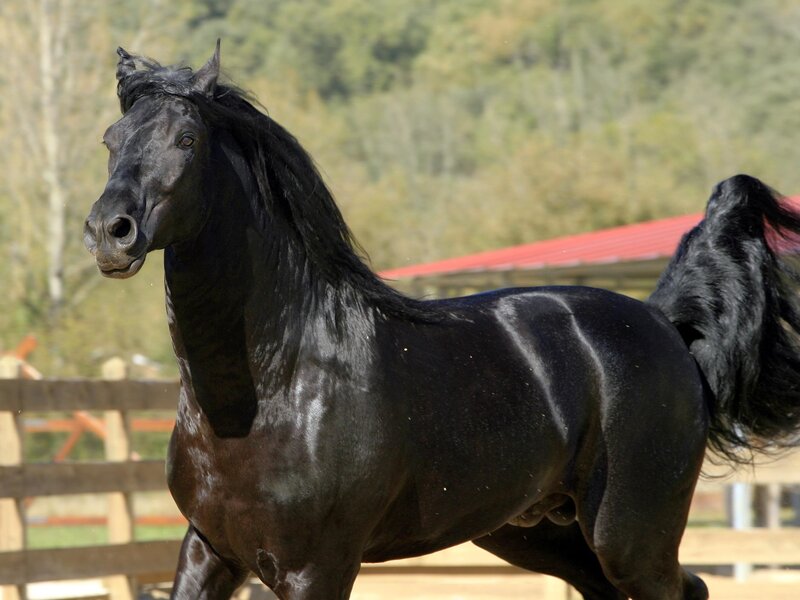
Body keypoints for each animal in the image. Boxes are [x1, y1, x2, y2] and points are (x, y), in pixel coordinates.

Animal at [84, 43, 800, 600]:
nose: (109, 233)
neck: (274, 385)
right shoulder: (208, 549)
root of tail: (659, 322)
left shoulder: (316, 566)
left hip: (630, 535)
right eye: (111, 142)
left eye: (187, 139)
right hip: (538, 531)